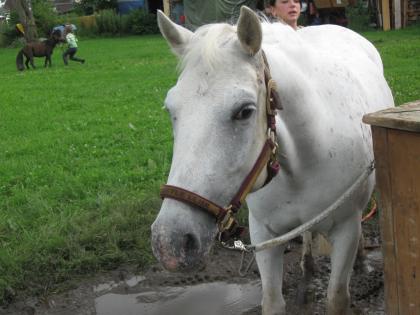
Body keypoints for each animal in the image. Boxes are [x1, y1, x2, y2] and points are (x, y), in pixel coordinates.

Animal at [151, 6, 394, 314]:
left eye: (244, 111)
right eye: (171, 109)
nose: (169, 243)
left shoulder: (346, 230)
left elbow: (337, 297)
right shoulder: (264, 235)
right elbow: (272, 301)